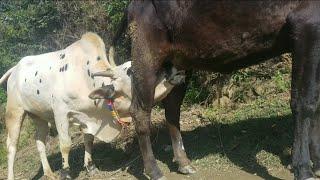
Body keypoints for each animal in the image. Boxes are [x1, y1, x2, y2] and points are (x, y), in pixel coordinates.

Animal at [0, 32, 185, 180]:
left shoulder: (88, 117)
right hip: (14, 112)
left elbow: (88, 140)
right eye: (131, 71)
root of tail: (15, 69)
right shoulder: (60, 113)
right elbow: (65, 144)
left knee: (40, 142)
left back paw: (49, 172)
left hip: (38, 116)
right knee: (11, 146)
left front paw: (90, 167)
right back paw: (12, 175)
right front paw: (66, 172)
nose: (173, 67)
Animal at [112, 0, 320, 179]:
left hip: (179, 62)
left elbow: (316, 104)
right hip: (146, 54)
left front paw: (316, 162)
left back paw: (183, 162)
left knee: (172, 109)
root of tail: (133, 5)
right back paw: (154, 170)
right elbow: (304, 103)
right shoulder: (307, 24)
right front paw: (304, 169)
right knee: (140, 111)